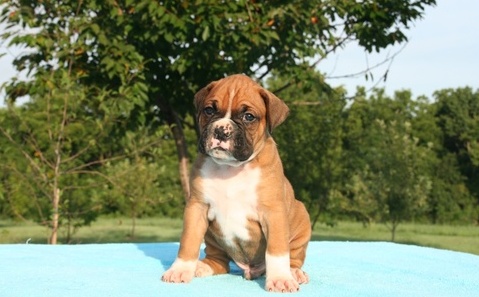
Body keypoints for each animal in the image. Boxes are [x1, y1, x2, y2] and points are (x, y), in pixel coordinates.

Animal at [162, 74, 312, 292]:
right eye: (209, 110)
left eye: (248, 116)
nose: (221, 131)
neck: (230, 168)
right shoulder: (197, 207)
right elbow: (188, 241)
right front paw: (180, 269)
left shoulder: (273, 213)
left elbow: (276, 251)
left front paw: (280, 279)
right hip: (212, 238)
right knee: (219, 261)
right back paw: (201, 266)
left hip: (301, 221)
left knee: (293, 256)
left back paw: (294, 273)